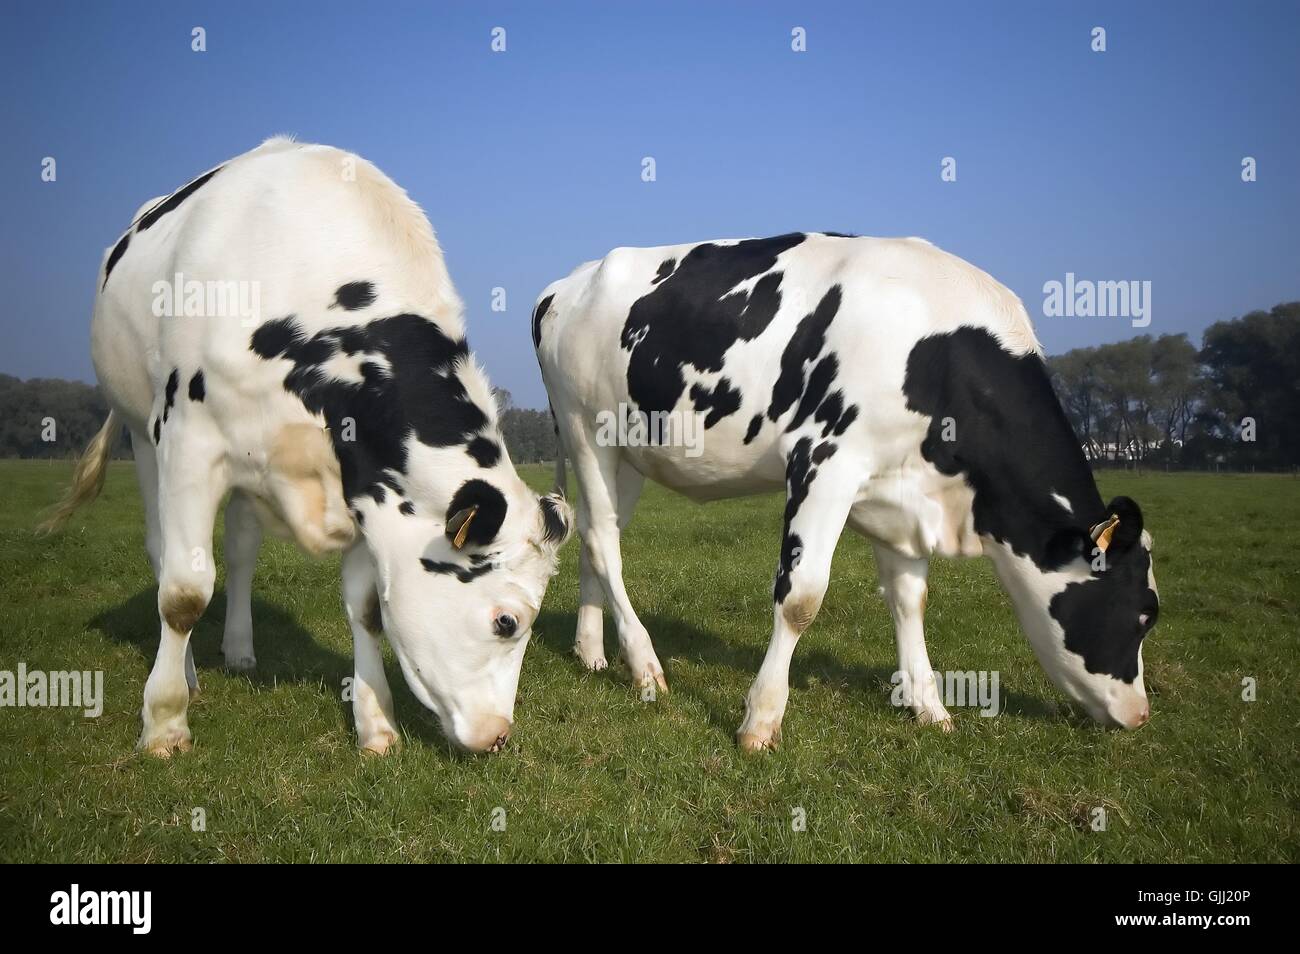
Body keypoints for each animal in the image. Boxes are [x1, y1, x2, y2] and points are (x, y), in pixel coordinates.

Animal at [43, 138, 572, 756]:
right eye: (506, 622)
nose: (497, 735)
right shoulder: (189, 441)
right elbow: (184, 592)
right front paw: (165, 724)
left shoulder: (365, 480)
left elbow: (366, 609)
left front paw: (376, 723)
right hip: (140, 429)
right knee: (164, 553)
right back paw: (189, 675)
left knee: (241, 547)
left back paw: (240, 649)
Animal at [533, 232, 1159, 751]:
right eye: (1142, 616)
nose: (1140, 716)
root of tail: (567, 282)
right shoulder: (823, 460)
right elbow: (801, 598)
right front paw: (761, 720)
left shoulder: (902, 494)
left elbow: (910, 599)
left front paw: (930, 707)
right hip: (587, 431)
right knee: (604, 541)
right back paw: (644, 665)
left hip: (628, 457)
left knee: (596, 535)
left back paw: (592, 653)